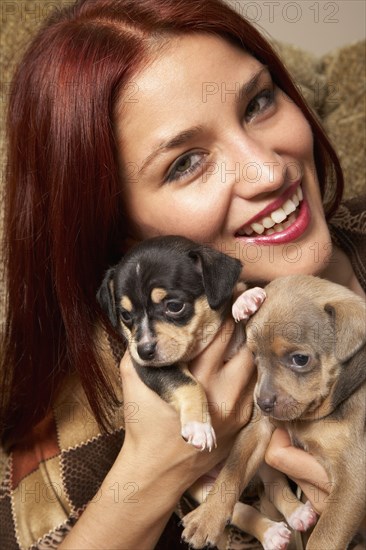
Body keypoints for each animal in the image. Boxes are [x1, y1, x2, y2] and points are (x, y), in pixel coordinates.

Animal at [96, 237, 264, 452]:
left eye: (174, 306)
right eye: (125, 315)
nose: (144, 351)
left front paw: (244, 299)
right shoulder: (150, 369)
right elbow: (187, 383)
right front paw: (198, 426)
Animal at [183, 276, 366, 550]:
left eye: (300, 359)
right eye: (254, 356)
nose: (262, 403)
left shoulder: (353, 478)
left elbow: (326, 536)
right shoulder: (256, 431)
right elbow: (232, 471)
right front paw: (207, 516)